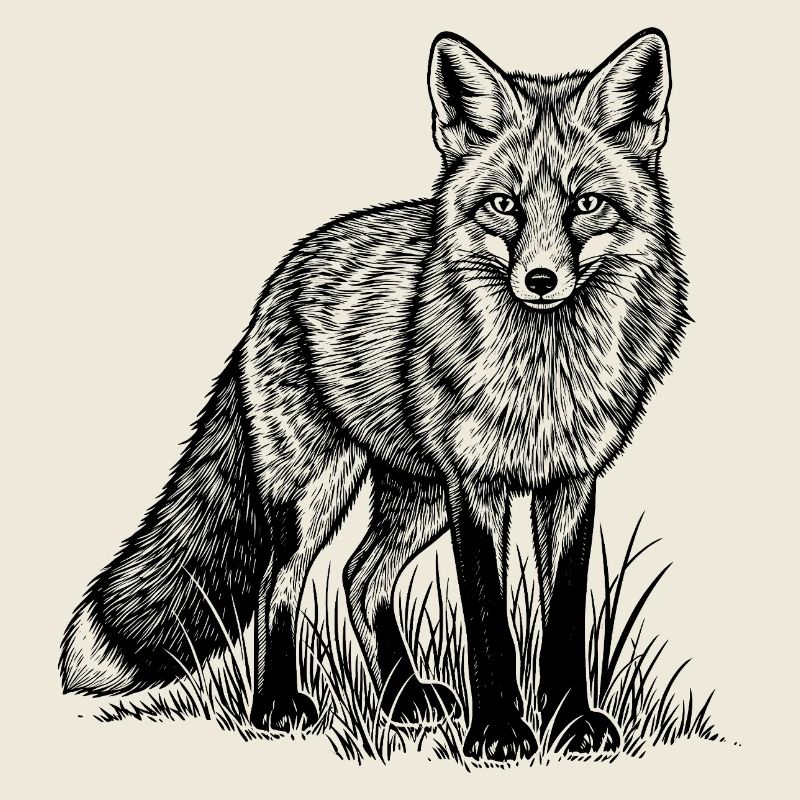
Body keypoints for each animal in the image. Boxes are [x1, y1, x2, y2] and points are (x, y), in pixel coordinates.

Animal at [60, 29, 688, 761]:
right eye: (504, 204)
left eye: (585, 204)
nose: (539, 279)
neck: (544, 375)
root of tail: (280, 275)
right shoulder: (474, 487)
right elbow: (489, 622)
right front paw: (499, 733)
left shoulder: (571, 482)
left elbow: (562, 616)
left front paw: (570, 723)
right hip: (315, 493)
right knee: (282, 582)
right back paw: (277, 705)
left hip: (416, 497)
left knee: (361, 578)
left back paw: (400, 696)